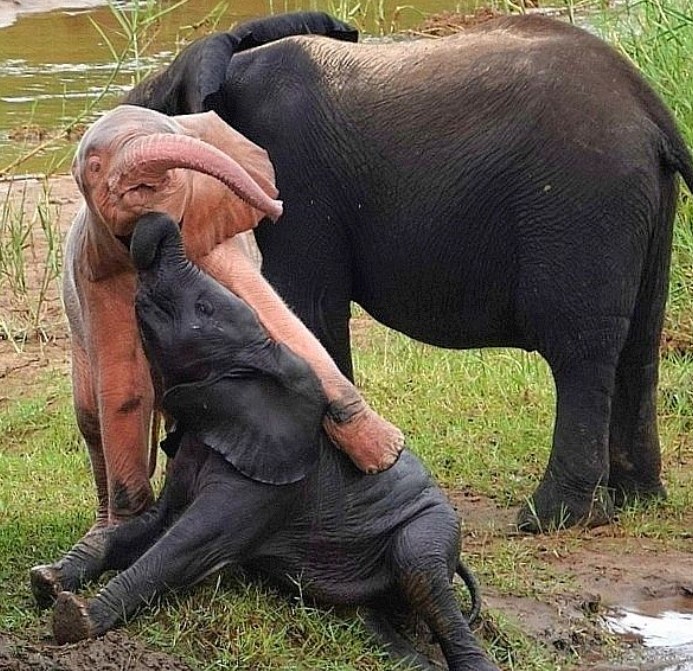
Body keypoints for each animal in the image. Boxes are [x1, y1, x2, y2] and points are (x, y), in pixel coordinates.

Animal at [30, 102, 404, 607]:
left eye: (179, 145)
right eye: (93, 166)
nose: (278, 208)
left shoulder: (216, 240)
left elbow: (277, 321)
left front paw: (384, 457)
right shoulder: (96, 273)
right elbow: (123, 392)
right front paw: (117, 537)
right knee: (91, 420)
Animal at [49, 212, 499, 671]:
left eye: (204, 308)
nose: (157, 220)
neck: (268, 358)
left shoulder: (265, 490)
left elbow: (183, 546)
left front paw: (75, 617)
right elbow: (151, 525)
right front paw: (48, 578)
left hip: (431, 526)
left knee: (422, 573)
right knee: (368, 620)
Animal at [124, 11, 693, 532]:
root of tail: (652, 113)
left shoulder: (292, 180)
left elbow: (307, 309)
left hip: (580, 207)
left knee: (580, 353)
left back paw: (552, 519)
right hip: (641, 206)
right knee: (639, 342)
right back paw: (637, 499)